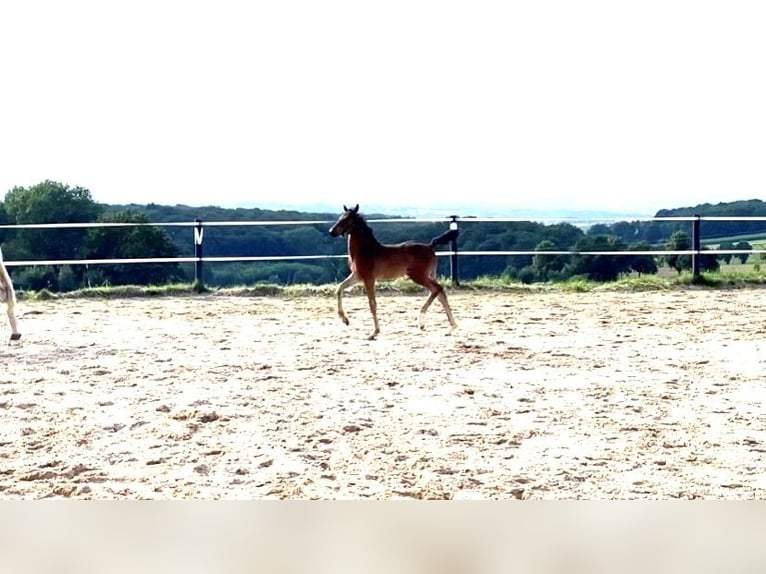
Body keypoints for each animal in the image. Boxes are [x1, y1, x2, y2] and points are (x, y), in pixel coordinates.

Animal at [328, 206, 460, 342]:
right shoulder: (357, 276)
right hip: (430, 275)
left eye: (347, 219)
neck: (366, 250)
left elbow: (372, 304)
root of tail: (430, 246)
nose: (331, 231)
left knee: (436, 289)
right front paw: (345, 320)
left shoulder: (369, 278)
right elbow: (339, 288)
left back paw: (422, 322)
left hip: (418, 276)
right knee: (440, 293)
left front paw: (374, 332)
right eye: (341, 216)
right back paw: (451, 327)